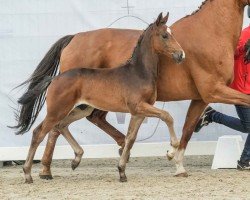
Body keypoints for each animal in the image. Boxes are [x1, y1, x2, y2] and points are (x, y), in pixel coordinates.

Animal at [22, 12, 184, 183]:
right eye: (165, 35)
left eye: (171, 33)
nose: (181, 54)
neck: (138, 72)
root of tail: (54, 79)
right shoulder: (138, 106)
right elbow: (167, 116)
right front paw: (171, 151)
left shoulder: (138, 112)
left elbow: (130, 139)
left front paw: (122, 172)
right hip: (57, 111)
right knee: (39, 133)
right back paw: (28, 174)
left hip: (82, 109)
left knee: (61, 126)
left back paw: (76, 159)